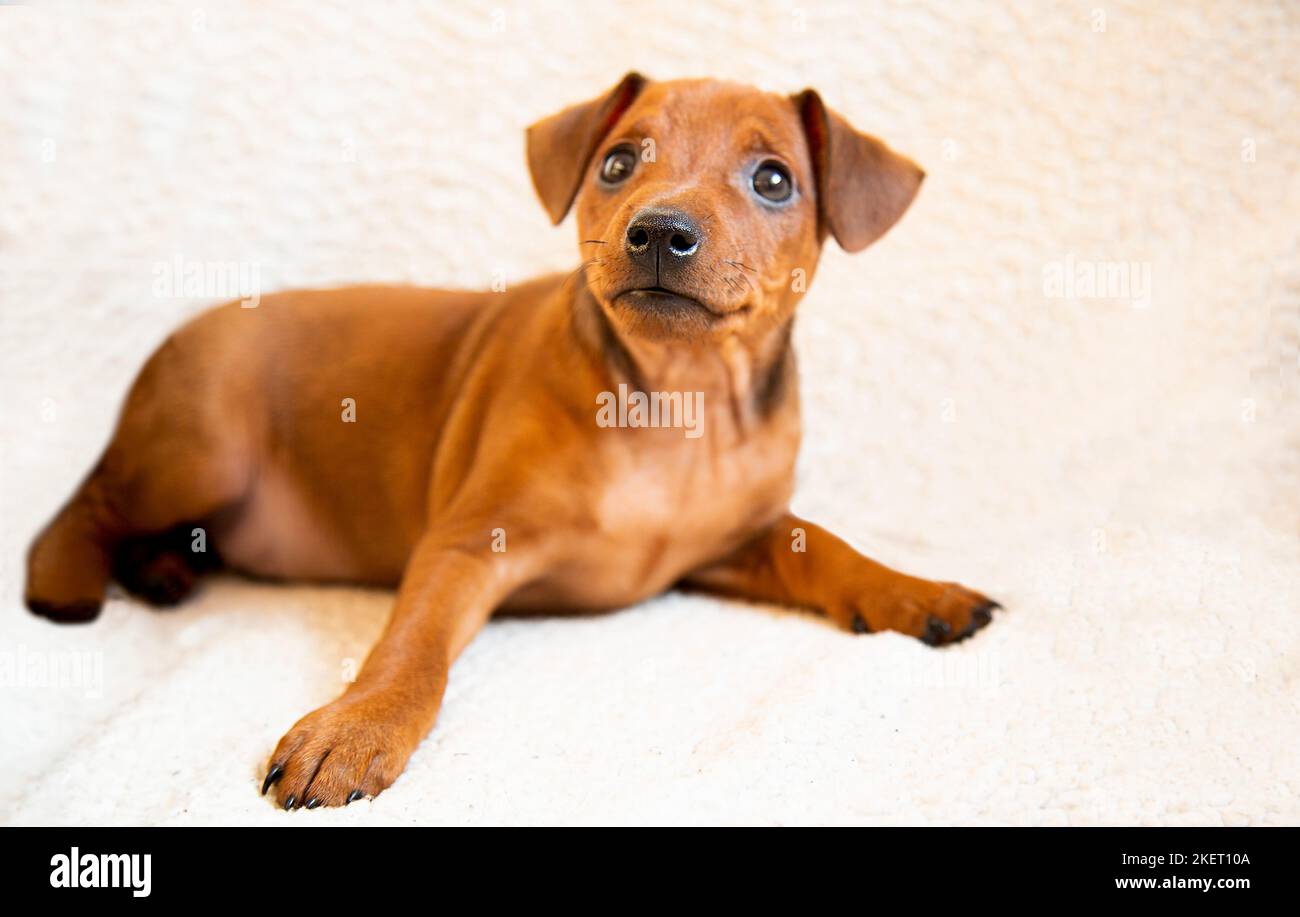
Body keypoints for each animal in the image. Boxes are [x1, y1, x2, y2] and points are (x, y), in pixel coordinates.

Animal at [27, 75, 993, 806]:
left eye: (774, 180)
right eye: (618, 162)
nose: (659, 231)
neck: (675, 406)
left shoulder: (732, 539)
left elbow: (824, 544)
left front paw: (917, 591)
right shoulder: (464, 545)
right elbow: (412, 646)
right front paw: (356, 727)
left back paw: (163, 568)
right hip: (200, 448)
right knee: (86, 501)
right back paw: (76, 578)